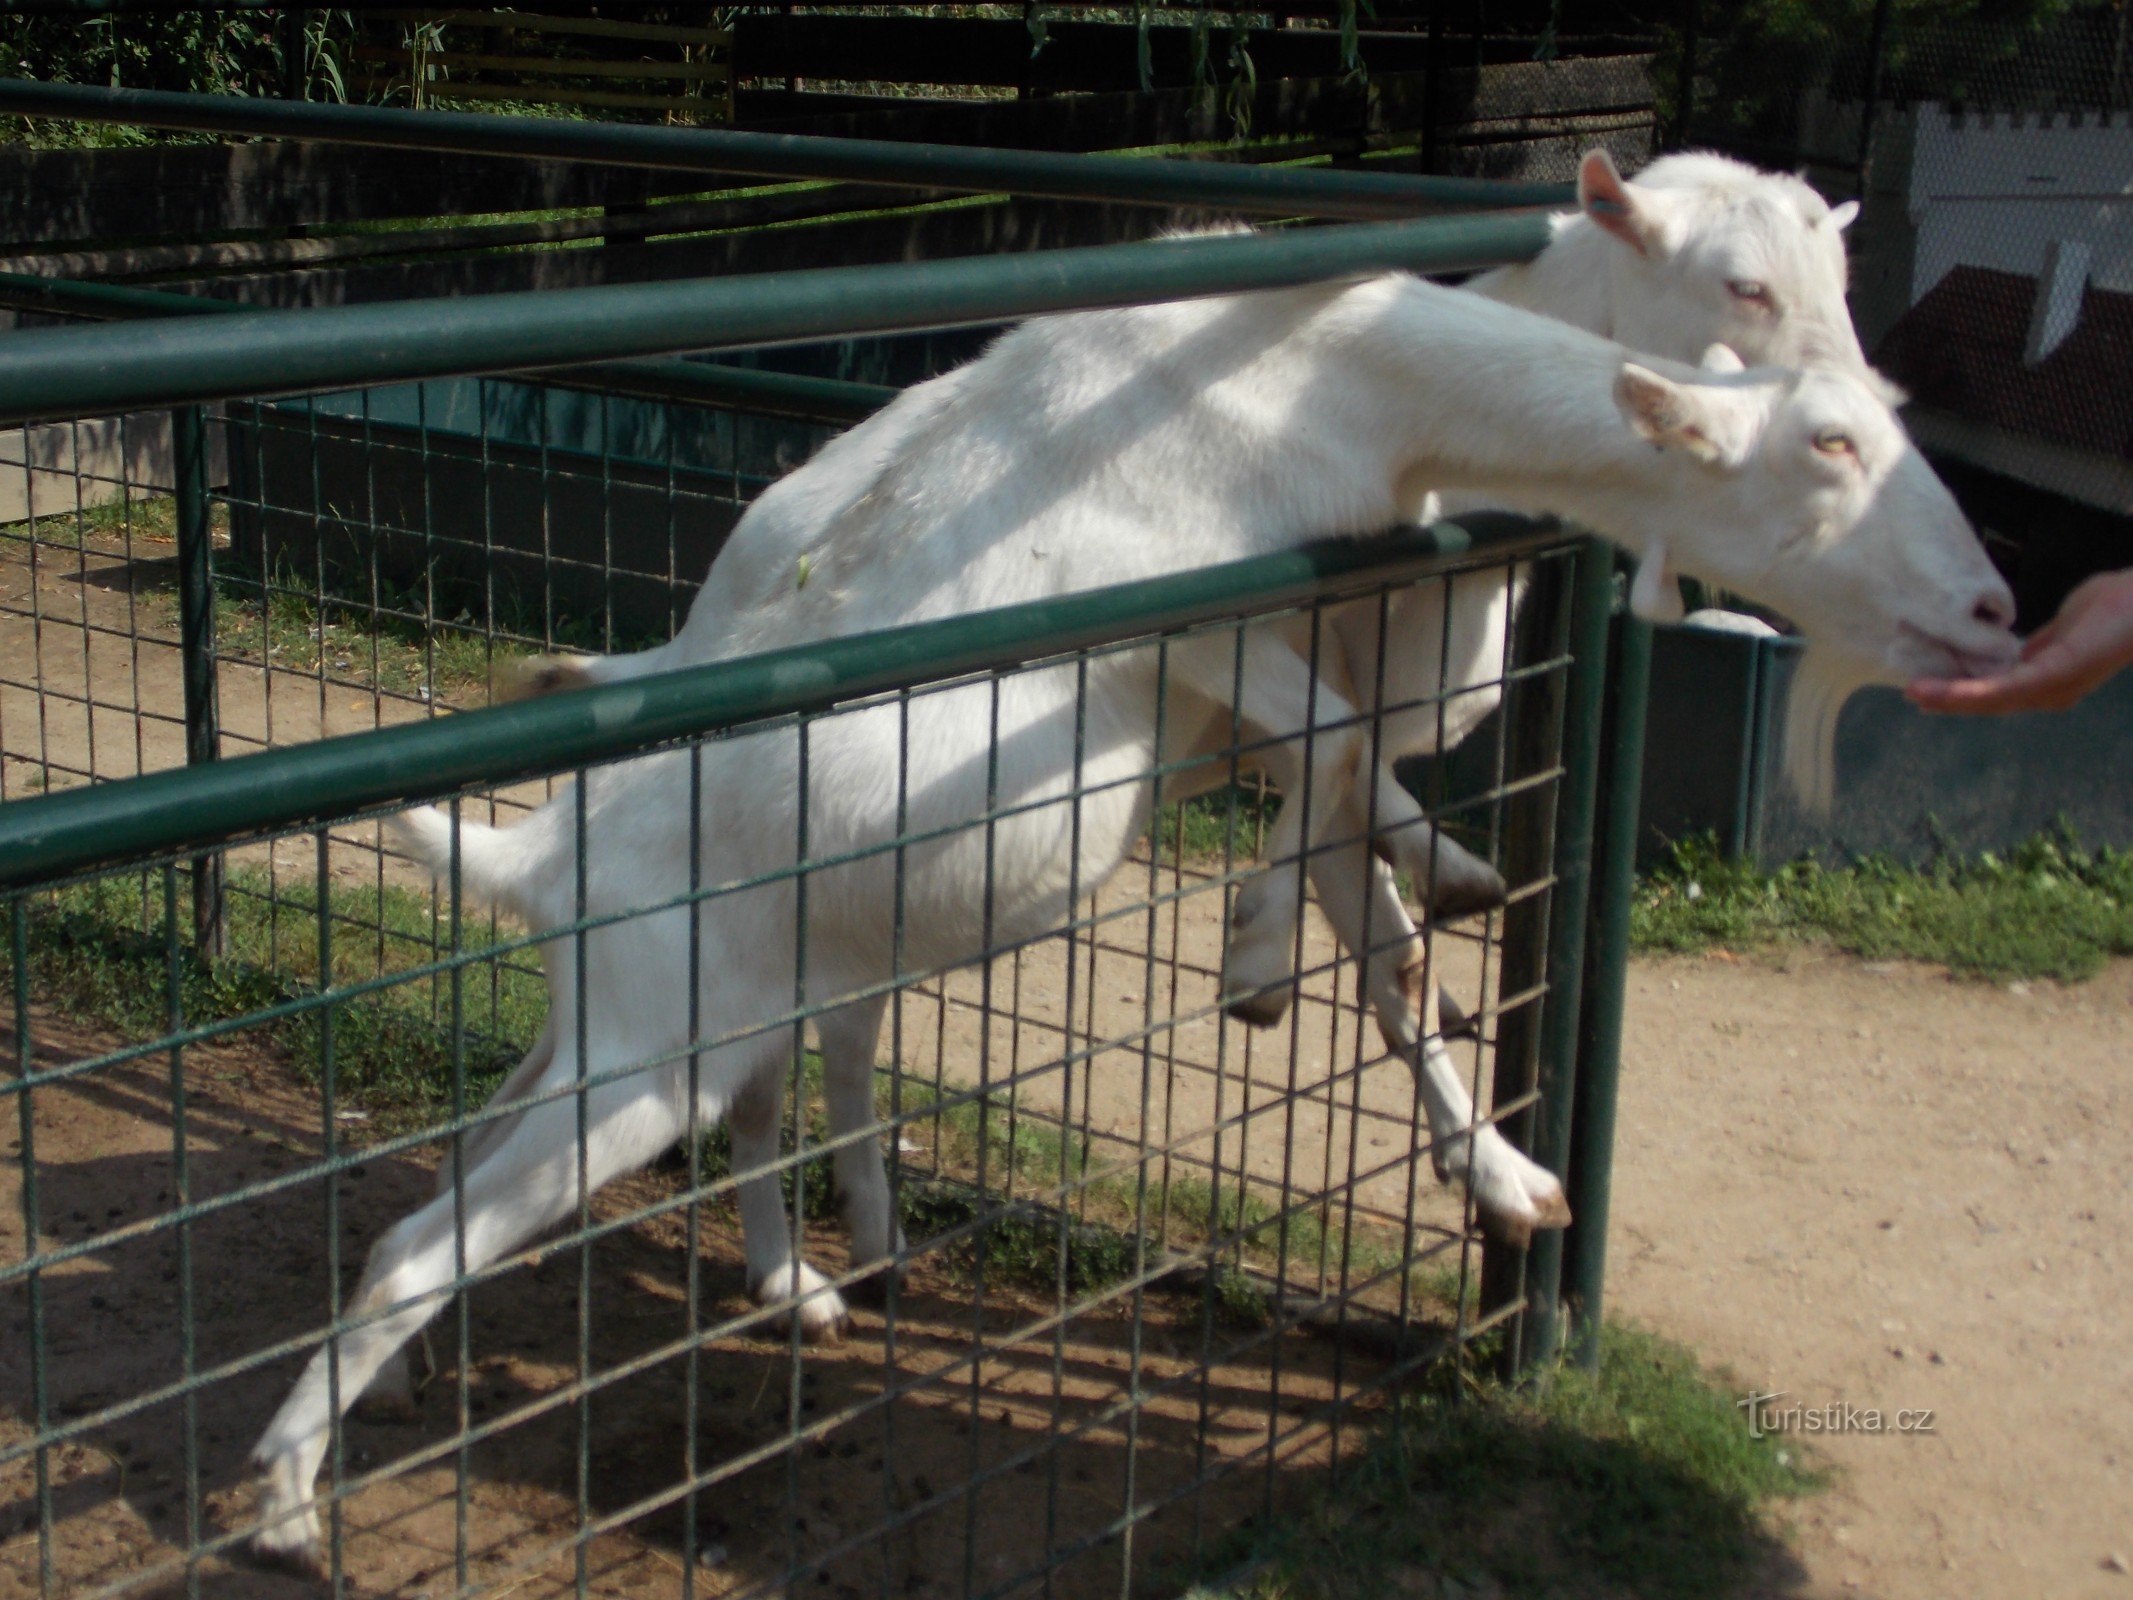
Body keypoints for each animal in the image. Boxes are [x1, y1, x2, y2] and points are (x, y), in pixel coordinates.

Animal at [245, 257, 2013, 1570]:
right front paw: (1271, 960)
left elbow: (1373, 856)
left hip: (633, 1025)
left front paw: (1495, 1135)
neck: (1301, 366)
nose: (1994, 610)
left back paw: (756, 1300)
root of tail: (544, 857)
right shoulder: (1193, 617)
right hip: (646, 1060)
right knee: (418, 1241)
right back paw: (279, 1508)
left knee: (542, 1132)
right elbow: (1339, 752)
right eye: (1828, 449)